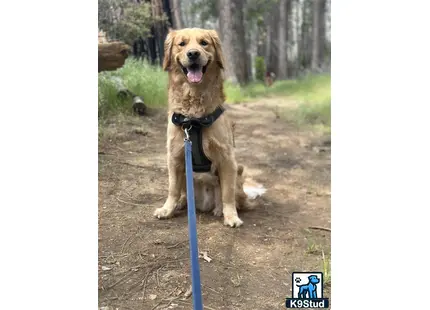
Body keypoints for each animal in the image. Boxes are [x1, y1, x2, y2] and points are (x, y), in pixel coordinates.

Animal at [153, 28, 244, 228]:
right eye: (182, 43)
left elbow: (227, 193)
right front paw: (167, 209)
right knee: (182, 193)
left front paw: (231, 216)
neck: (194, 119)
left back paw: (219, 209)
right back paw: (181, 203)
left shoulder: (227, 159)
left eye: (204, 43)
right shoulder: (174, 157)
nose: (193, 54)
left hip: (238, 170)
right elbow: (172, 189)